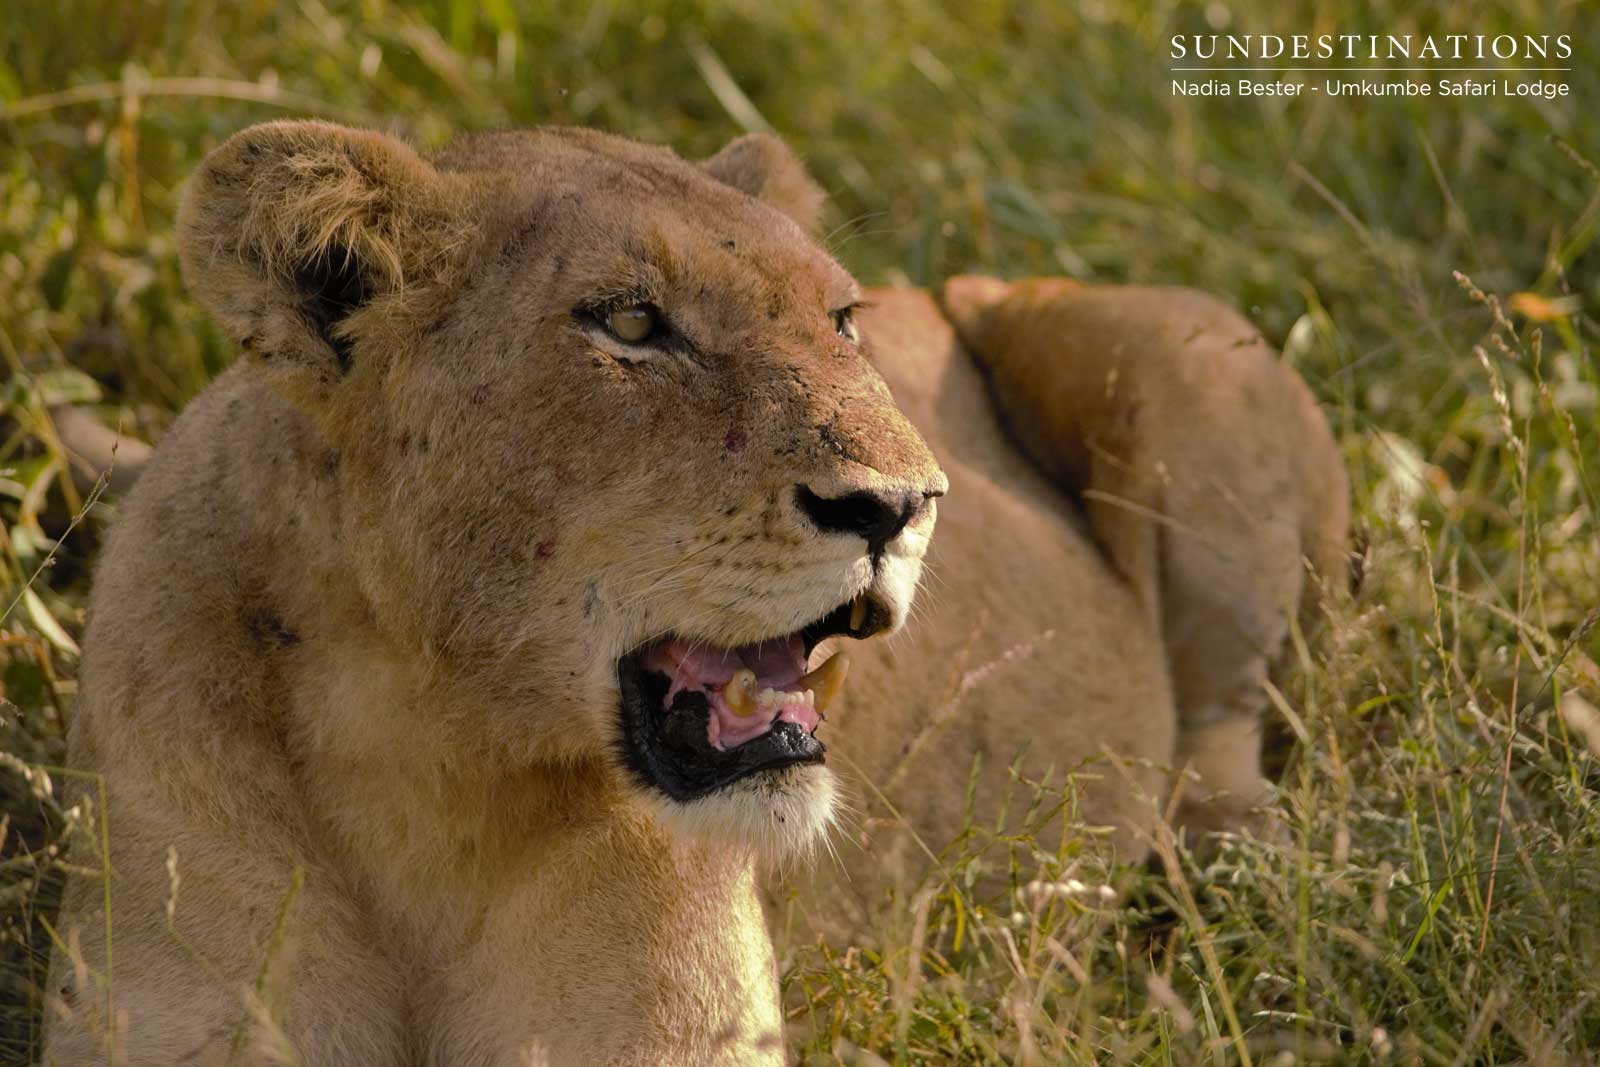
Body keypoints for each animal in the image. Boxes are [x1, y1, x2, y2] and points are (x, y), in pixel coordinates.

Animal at [44, 120, 1346, 1066]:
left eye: (841, 319)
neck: (424, 757)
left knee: (1226, 734)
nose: (903, 502)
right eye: (631, 322)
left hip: (1180, 345)